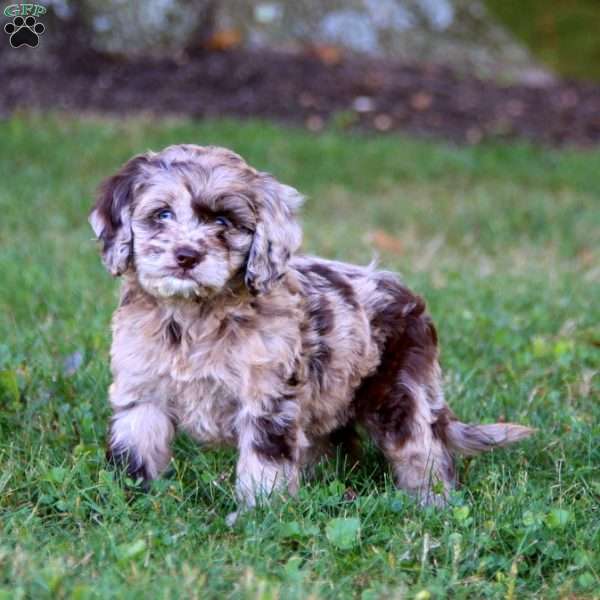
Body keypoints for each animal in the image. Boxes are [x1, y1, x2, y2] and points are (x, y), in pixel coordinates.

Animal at [88, 144, 528, 510]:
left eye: (223, 220)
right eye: (161, 214)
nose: (186, 256)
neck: (194, 315)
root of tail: (407, 294)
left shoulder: (267, 398)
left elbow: (264, 461)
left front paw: (258, 515)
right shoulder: (141, 392)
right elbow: (136, 449)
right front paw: (129, 500)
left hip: (401, 390)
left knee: (423, 449)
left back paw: (432, 504)